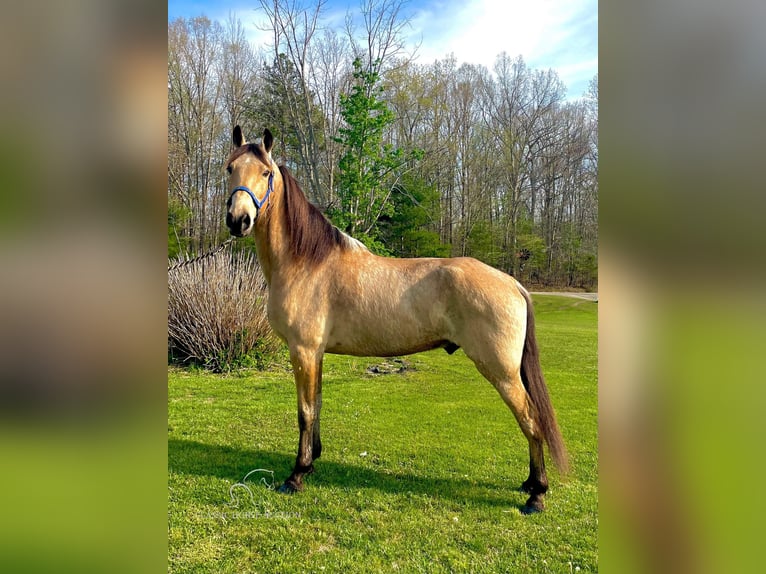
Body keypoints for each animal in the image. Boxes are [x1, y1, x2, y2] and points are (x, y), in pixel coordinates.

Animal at [225, 126, 568, 512]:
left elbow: (305, 411)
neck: (306, 263)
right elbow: (318, 405)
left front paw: (296, 475)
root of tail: (512, 283)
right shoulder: (316, 354)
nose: (238, 220)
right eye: (230, 168)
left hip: (502, 371)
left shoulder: (303, 351)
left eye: (265, 173)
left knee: (530, 419)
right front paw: (312, 461)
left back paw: (537, 494)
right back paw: (530, 484)